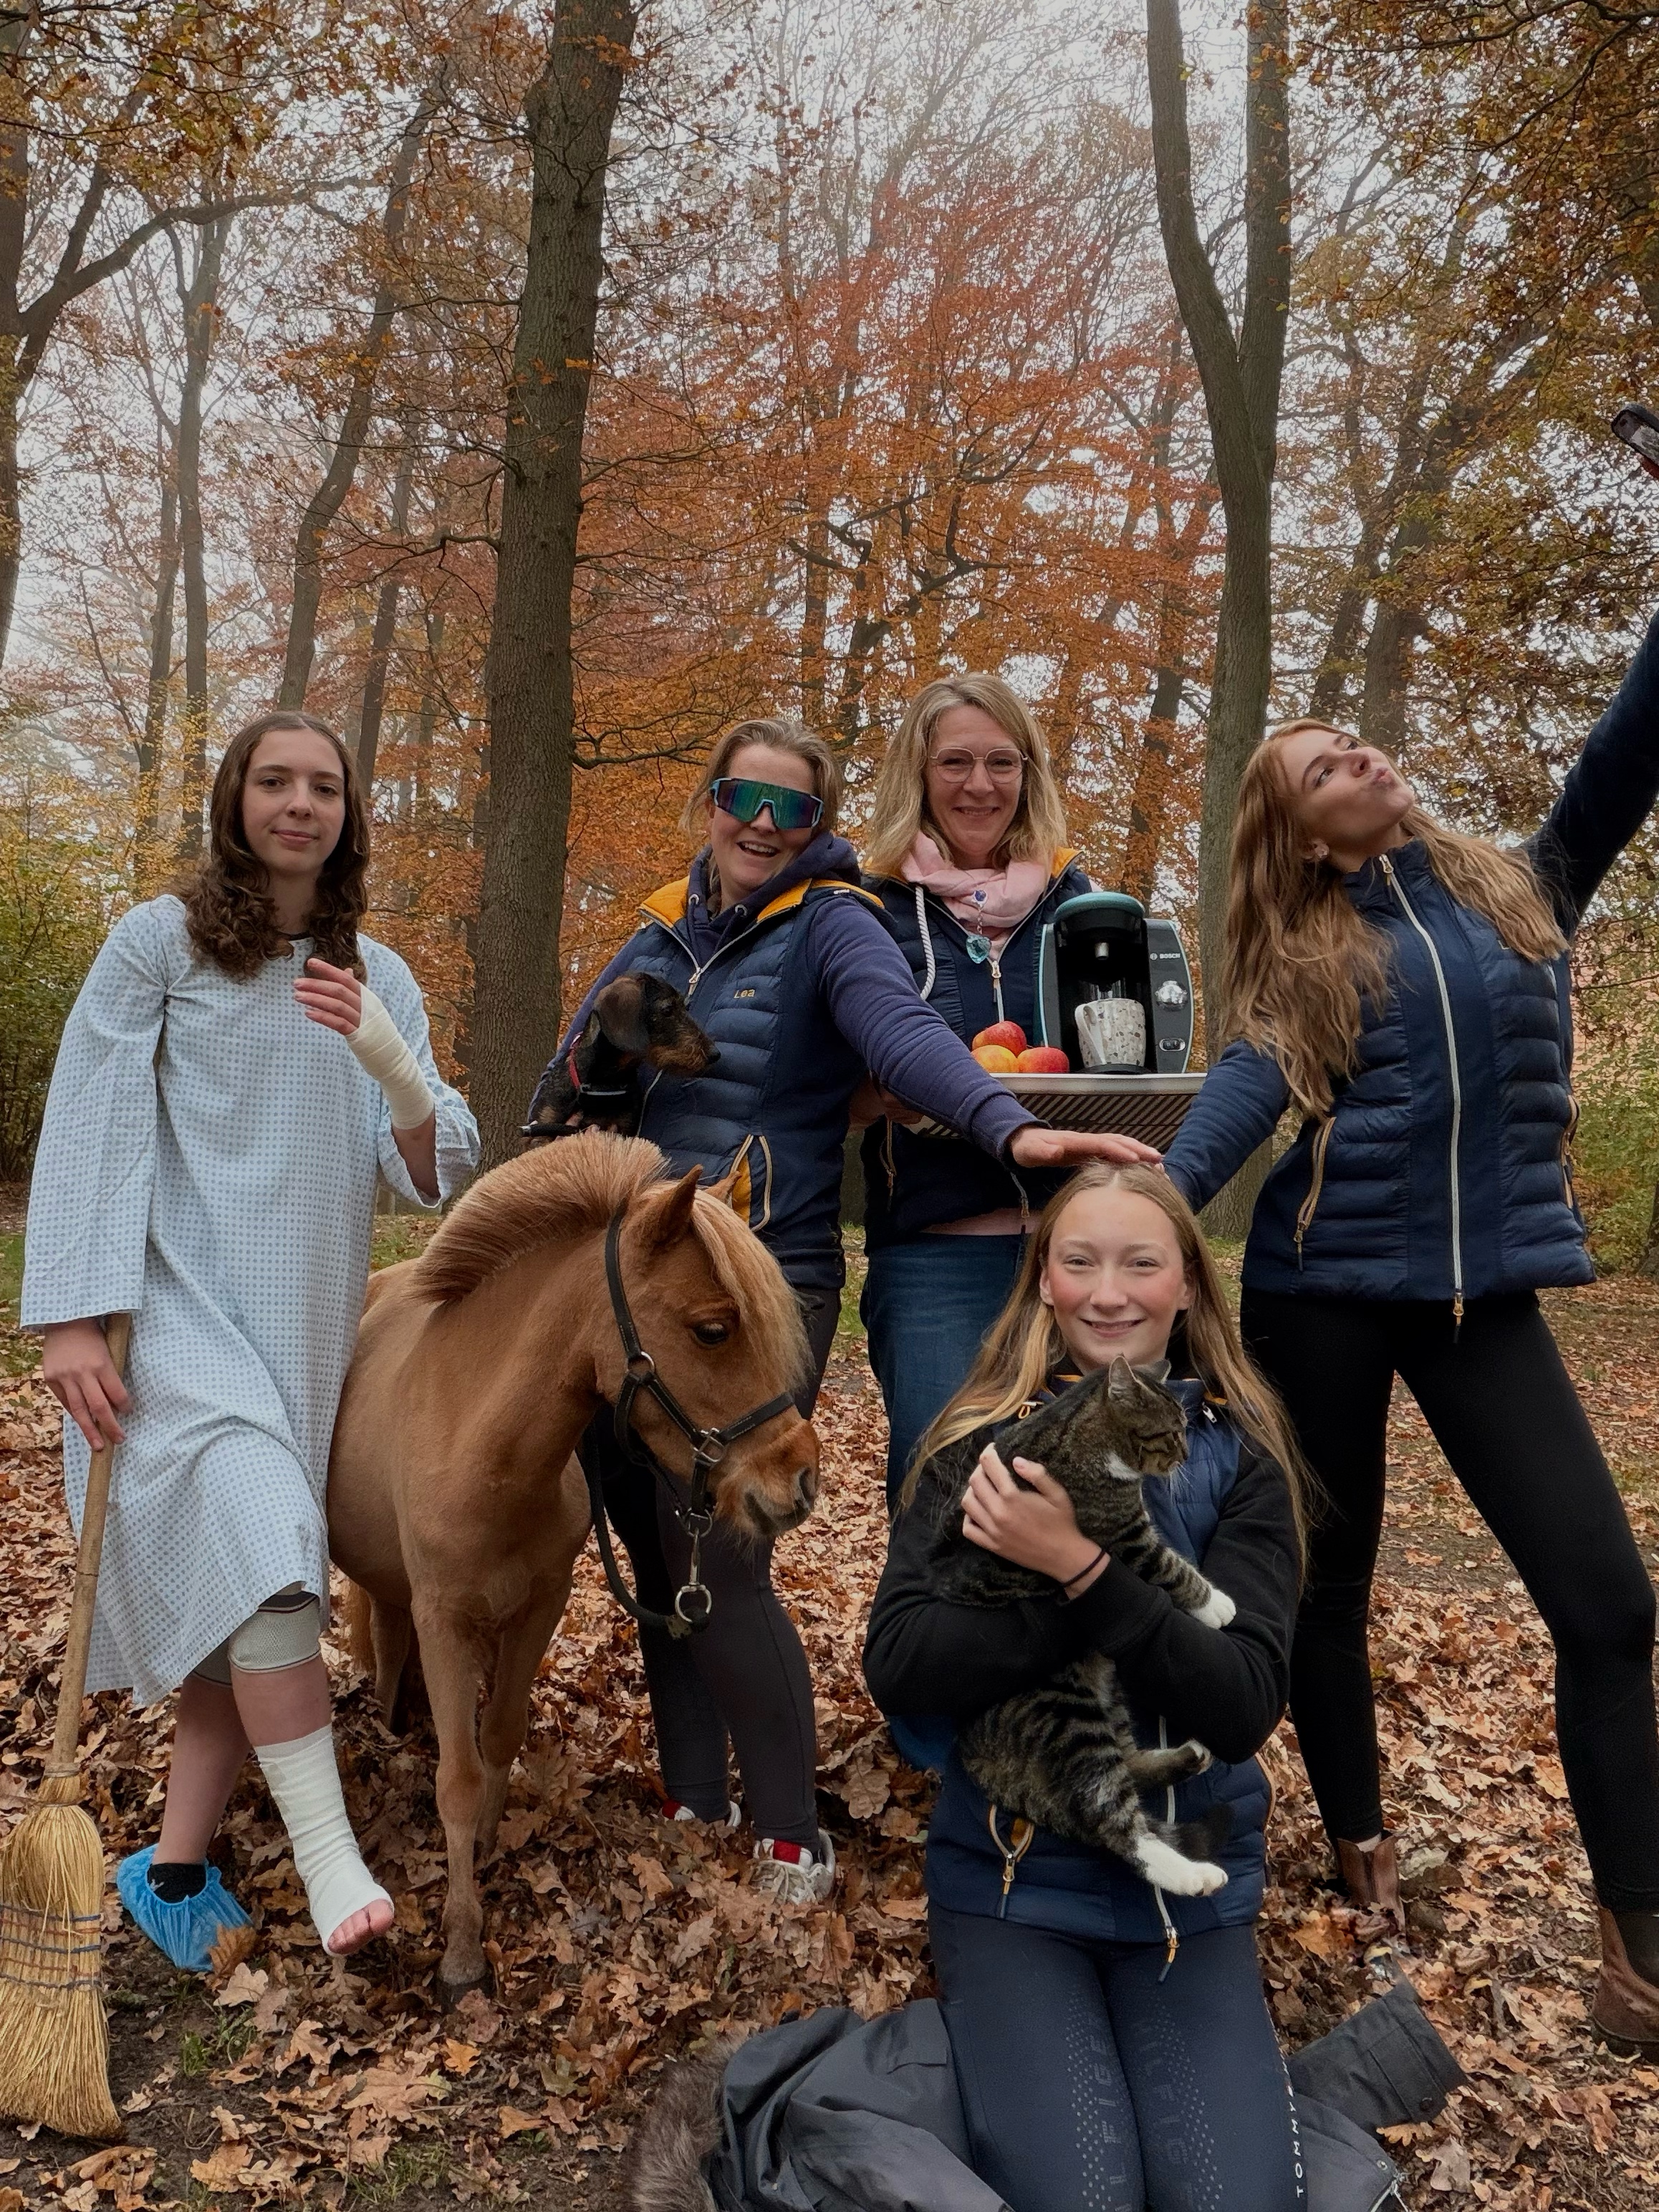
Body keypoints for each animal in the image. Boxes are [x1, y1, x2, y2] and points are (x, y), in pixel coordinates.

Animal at [326, 1131, 818, 1997]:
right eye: (714, 1329)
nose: (799, 1480)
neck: (480, 1445)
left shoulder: (540, 1606)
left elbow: (499, 1736)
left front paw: (489, 1845)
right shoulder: (444, 1618)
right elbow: (457, 1777)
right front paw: (461, 1950)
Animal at [521, 973, 718, 1142]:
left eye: (685, 1008)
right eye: (668, 1010)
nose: (715, 1055)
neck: (604, 1083)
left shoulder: (623, 1129)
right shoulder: (543, 1125)